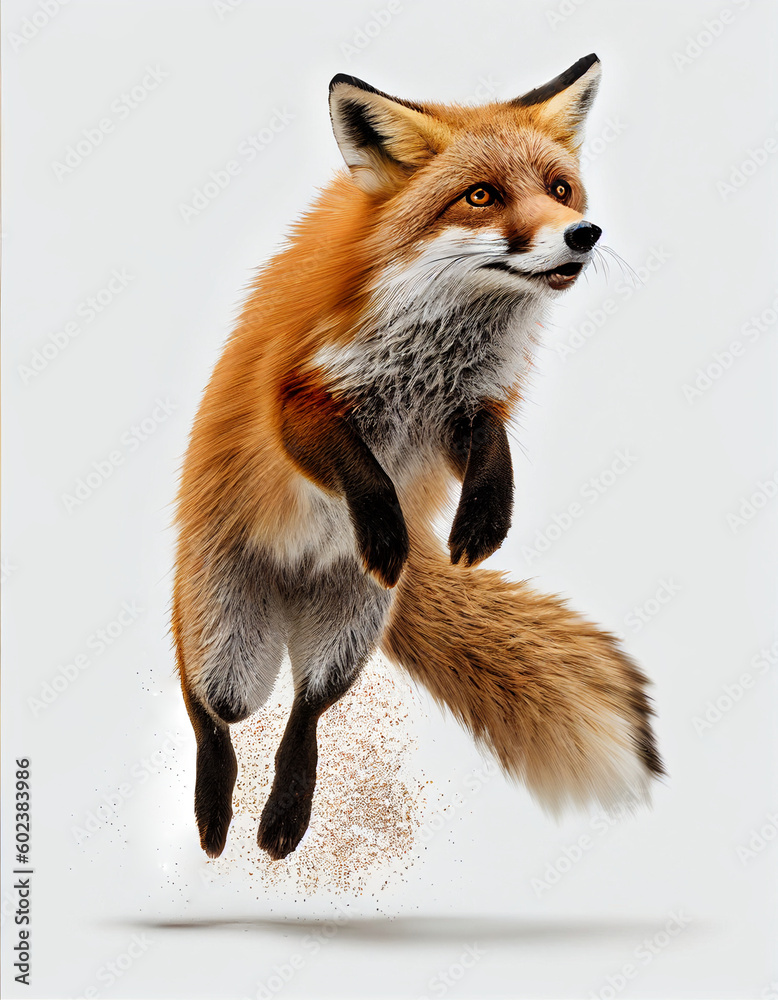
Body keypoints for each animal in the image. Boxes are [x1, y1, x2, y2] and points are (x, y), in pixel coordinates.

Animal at [173, 53, 664, 863]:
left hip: (347, 634)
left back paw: (285, 817)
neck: (431, 350)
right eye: (481, 196)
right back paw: (215, 814)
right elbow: (362, 469)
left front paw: (484, 520)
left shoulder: (463, 412)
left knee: (306, 710)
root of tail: (292, 588)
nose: (584, 233)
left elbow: (493, 450)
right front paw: (384, 531)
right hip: (223, 641)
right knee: (210, 714)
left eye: (560, 189)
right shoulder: (296, 400)